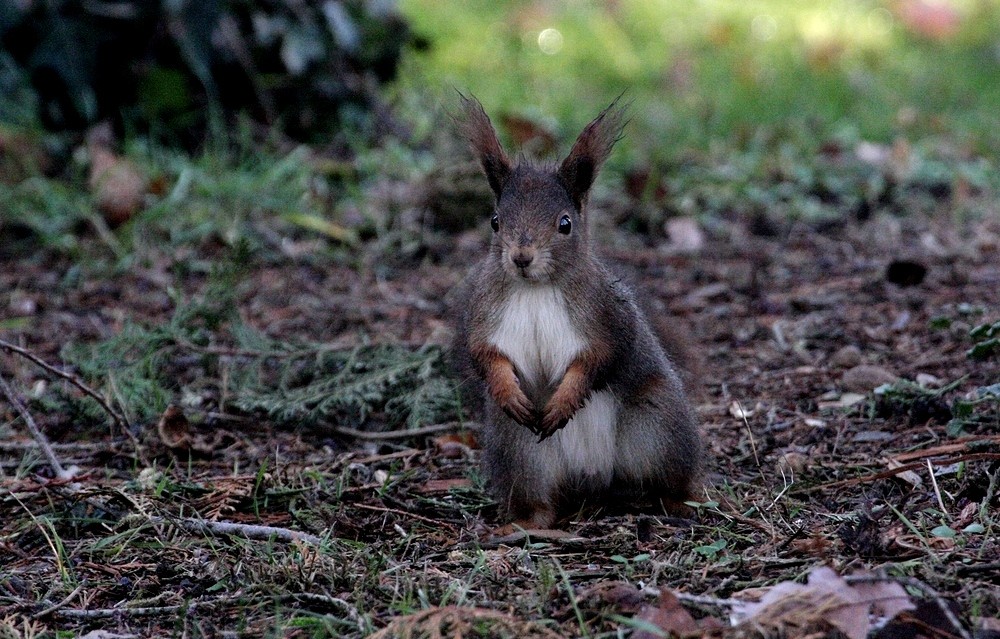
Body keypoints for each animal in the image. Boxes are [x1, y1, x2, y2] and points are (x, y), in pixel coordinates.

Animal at [454, 92, 704, 528]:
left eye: (565, 224)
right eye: (495, 221)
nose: (521, 257)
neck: (535, 289)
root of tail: (593, 477)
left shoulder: (606, 314)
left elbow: (599, 357)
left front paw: (566, 398)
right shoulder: (482, 311)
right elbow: (484, 354)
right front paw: (506, 387)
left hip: (658, 425)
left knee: (669, 477)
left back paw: (681, 500)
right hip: (518, 449)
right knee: (538, 497)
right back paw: (528, 524)